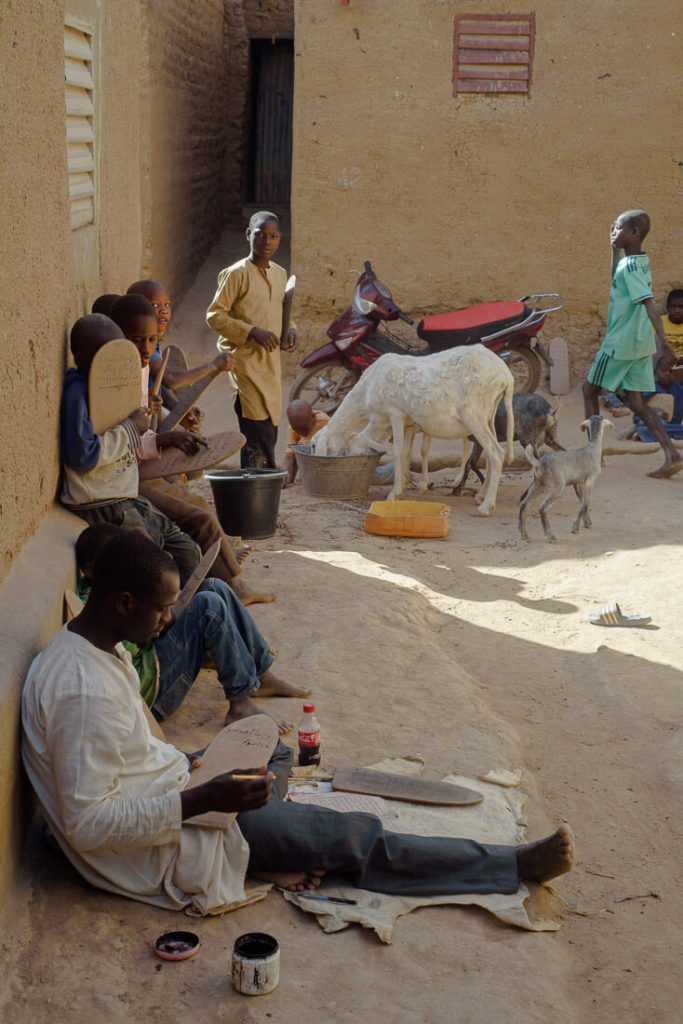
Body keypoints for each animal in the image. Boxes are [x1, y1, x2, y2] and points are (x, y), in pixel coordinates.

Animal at [309, 346, 511, 520]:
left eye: (313, 445)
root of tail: (506, 375)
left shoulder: (395, 414)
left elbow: (398, 453)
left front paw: (394, 494)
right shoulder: (407, 424)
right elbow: (406, 453)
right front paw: (405, 486)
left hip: (473, 414)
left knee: (496, 453)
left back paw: (486, 507)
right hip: (489, 415)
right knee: (492, 454)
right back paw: (480, 496)